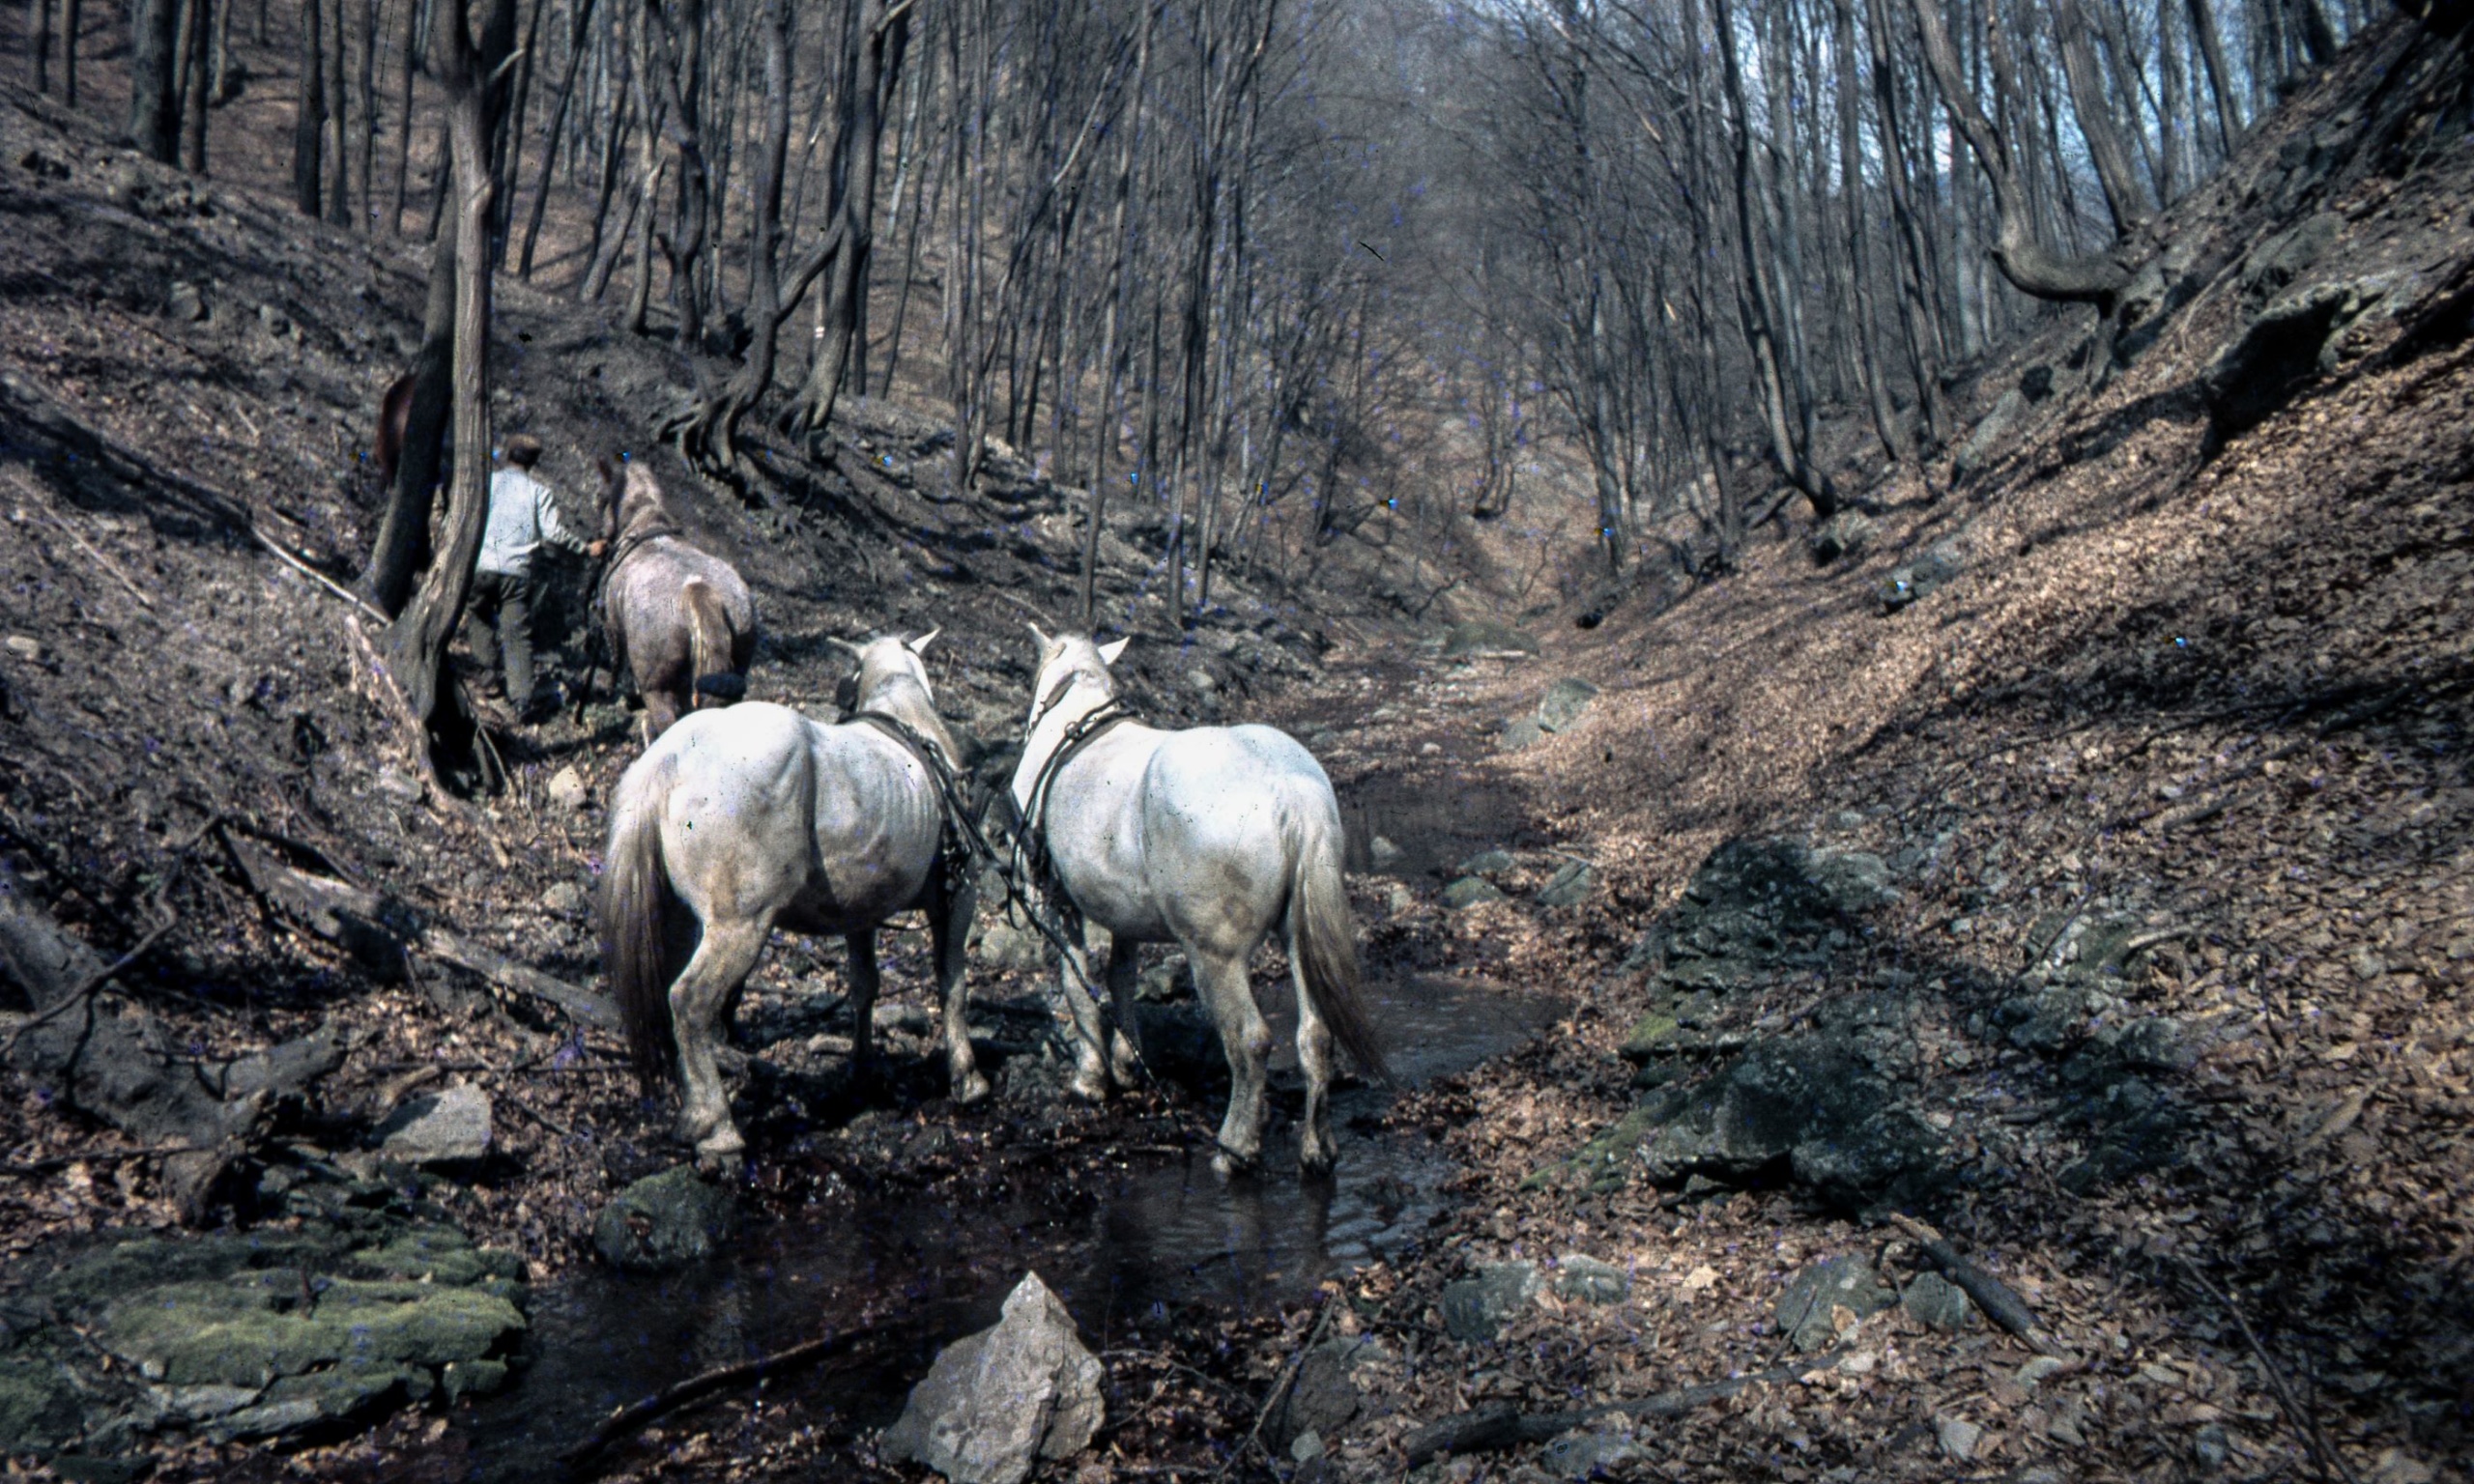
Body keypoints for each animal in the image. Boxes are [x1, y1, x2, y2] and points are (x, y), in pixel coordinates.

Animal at [595, 460, 752, 736]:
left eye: (601, 496)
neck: (645, 526)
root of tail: (698, 590)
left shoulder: (613, 627)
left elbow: (617, 661)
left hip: (659, 691)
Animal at [598, 630, 984, 1167]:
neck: (911, 727)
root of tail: (671, 755)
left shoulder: (860, 915)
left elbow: (865, 986)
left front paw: (862, 1069)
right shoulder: (958, 896)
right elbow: (953, 984)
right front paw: (967, 1077)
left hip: (678, 920)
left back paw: (692, 1110)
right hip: (739, 925)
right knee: (691, 1002)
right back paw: (718, 1128)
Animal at [1009, 623, 1395, 1172]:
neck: (1073, 722)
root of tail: (1289, 790)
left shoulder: (1057, 903)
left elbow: (1078, 985)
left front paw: (1090, 1079)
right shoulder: (1122, 915)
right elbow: (1120, 980)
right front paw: (1127, 1064)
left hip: (1215, 955)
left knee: (1250, 1041)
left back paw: (1235, 1147)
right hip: (1298, 938)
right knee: (1315, 1035)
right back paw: (1317, 1148)